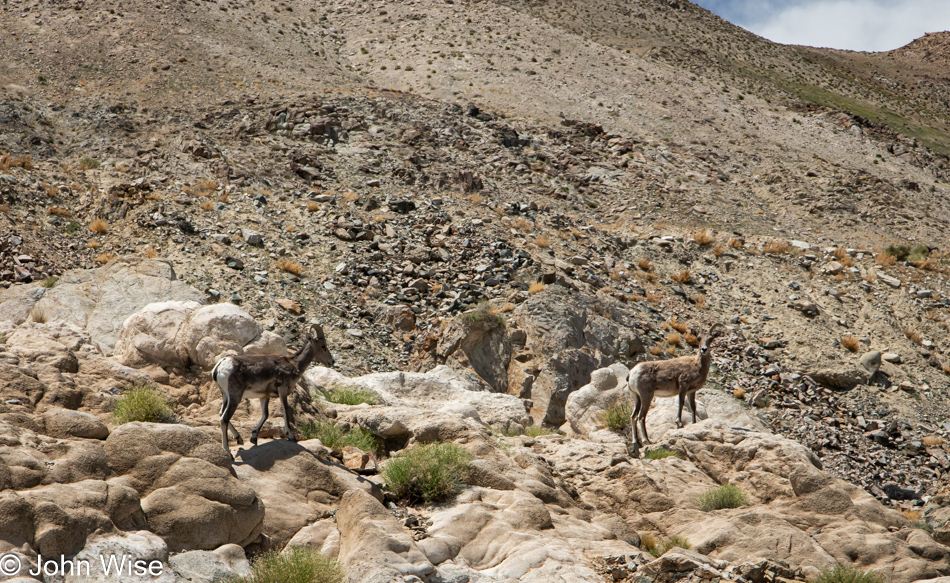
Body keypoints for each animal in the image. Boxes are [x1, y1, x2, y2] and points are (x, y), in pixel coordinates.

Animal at [212, 326, 334, 458]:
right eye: (323, 346)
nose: (331, 361)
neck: (293, 365)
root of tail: (220, 366)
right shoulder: (282, 389)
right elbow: (285, 410)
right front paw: (291, 436)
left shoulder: (264, 396)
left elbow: (265, 414)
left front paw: (254, 438)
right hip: (235, 397)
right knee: (224, 418)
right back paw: (228, 451)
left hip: (225, 396)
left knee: (221, 413)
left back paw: (239, 439)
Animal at [632, 322, 728, 450]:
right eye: (698, 338)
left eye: (711, 338)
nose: (704, 349)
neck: (697, 365)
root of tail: (632, 373)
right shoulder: (683, 384)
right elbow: (681, 403)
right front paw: (679, 423)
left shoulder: (691, 391)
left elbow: (693, 407)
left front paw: (693, 423)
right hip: (646, 396)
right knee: (641, 417)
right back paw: (646, 441)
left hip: (637, 397)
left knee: (633, 416)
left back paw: (635, 443)